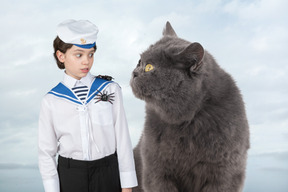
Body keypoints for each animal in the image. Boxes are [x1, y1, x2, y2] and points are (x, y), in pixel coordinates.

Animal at [130, 21, 250, 191]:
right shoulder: (155, 171)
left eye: (149, 67)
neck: (187, 121)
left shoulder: (225, 173)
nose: (134, 72)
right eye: (139, 62)